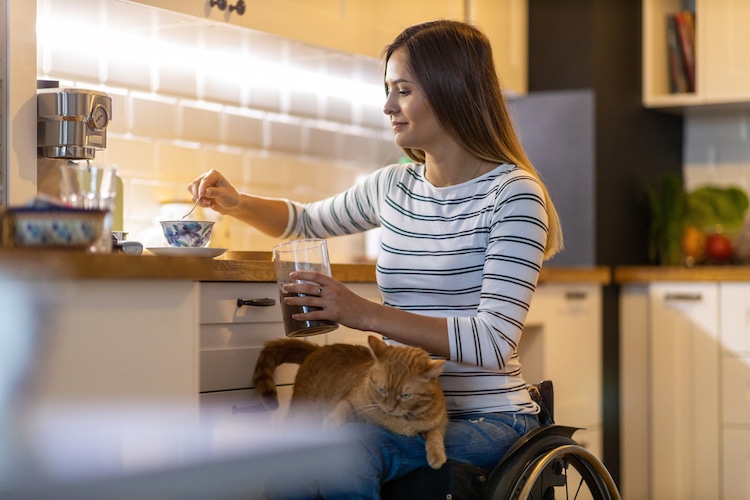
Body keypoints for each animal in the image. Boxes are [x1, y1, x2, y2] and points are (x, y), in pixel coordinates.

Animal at [256, 336, 450, 468]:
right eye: (382, 390)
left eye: (405, 396)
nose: (389, 408)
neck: (399, 422)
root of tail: (317, 348)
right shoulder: (351, 401)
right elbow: (341, 410)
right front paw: (330, 423)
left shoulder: (439, 422)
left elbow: (435, 435)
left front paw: (437, 455)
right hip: (302, 416)